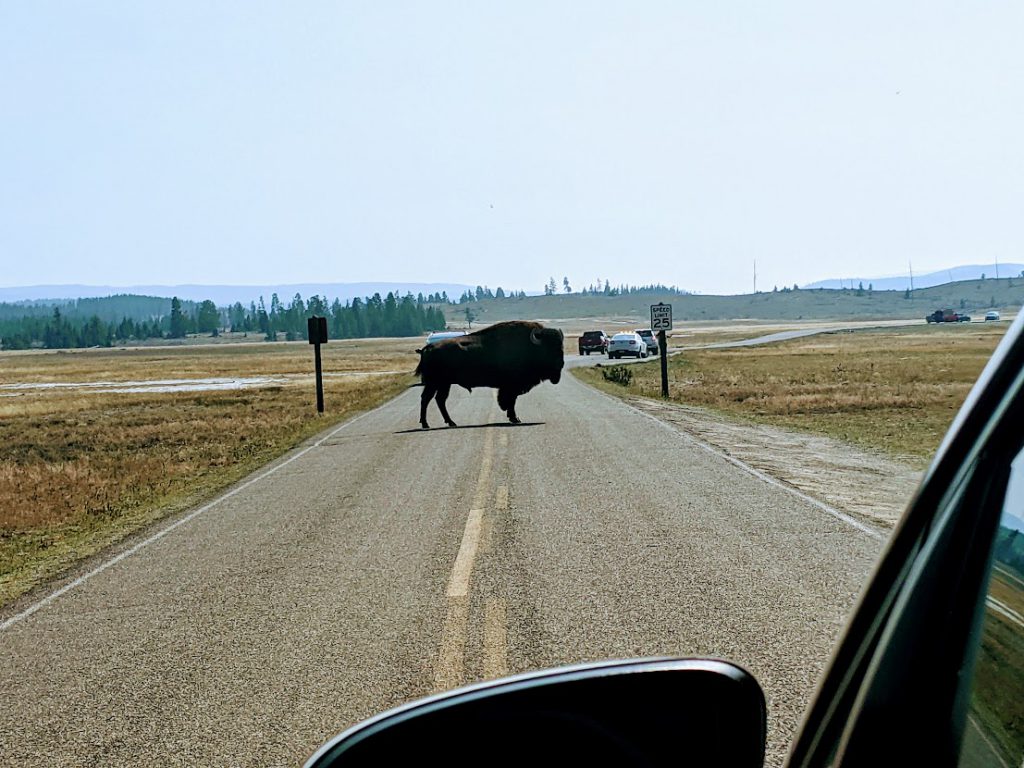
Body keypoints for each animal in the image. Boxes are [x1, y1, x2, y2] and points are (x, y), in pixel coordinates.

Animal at [411, 321, 565, 430]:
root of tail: (427, 348)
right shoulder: (511, 386)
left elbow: (510, 401)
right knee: (426, 399)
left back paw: (451, 422)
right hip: (434, 383)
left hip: (443, 384)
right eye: (548, 347)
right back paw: (426, 424)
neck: (530, 346)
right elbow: (510, 401)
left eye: (561, 346)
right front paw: (515, 418)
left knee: (439, 400)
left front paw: (512, 417)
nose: (561, 364)